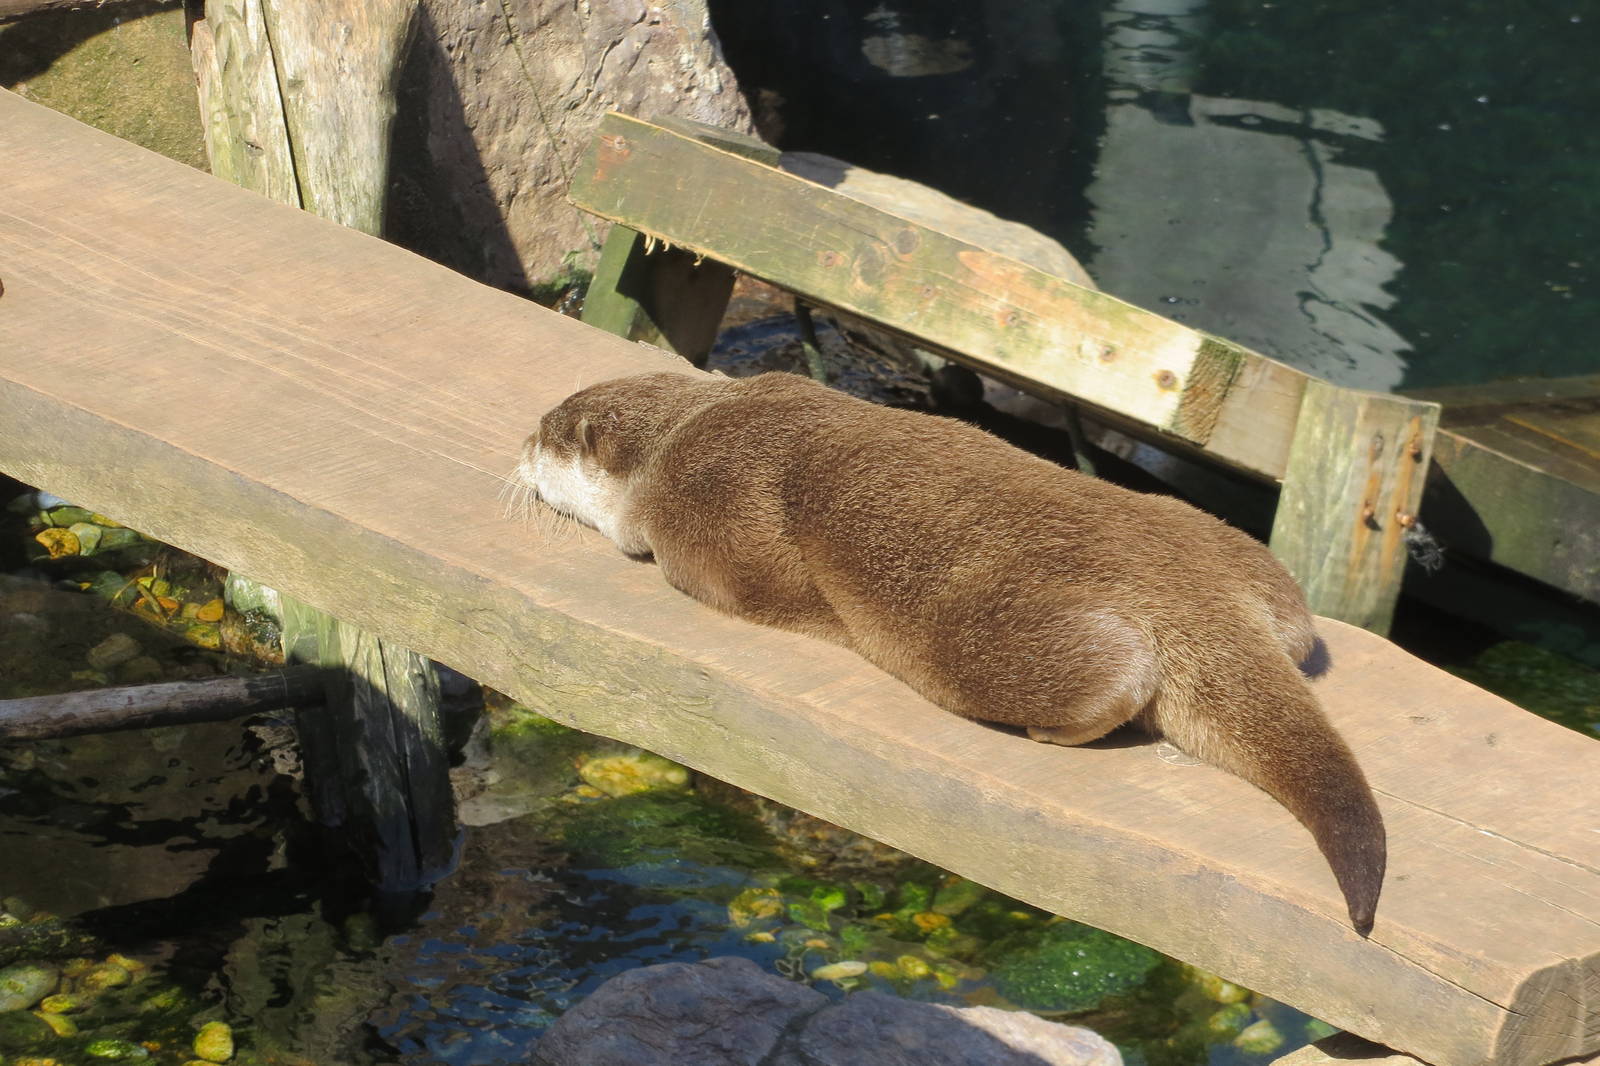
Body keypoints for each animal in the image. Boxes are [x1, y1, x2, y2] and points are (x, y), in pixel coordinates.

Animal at [514, 370, 1386, 934]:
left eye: (545, 435)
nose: (519, 448)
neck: (690, 426)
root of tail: (1193, 595)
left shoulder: (703, 507)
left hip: (979, 633)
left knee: (1100, 678)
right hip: (1218, 541)